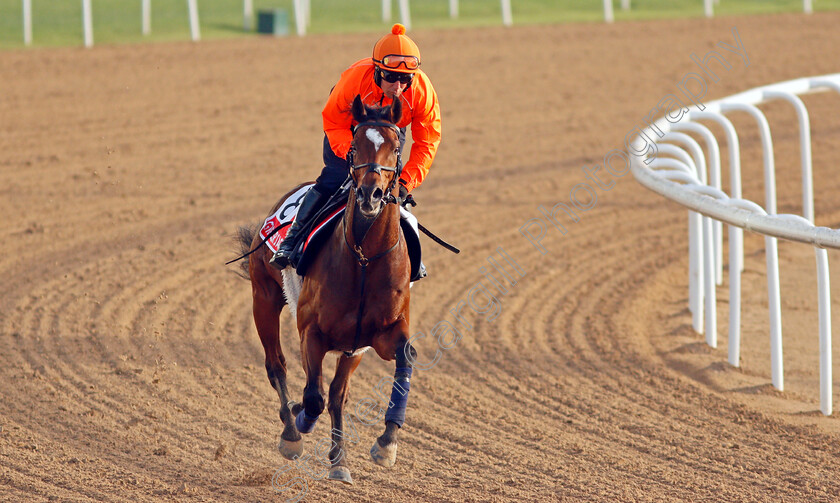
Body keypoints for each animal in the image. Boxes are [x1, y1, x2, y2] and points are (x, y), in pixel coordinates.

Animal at [238, 93, 416, 484]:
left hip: (352, 348)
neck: (364, 260)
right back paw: (292, 431)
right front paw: (298, 422)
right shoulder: (312, 332)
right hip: (264, 297)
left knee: (336, 393)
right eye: (354, 144)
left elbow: (402, 359)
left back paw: (338, 457)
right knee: (277, 366)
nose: (370, 193)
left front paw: (385, 444)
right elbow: (313, 397)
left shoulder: (375, 337)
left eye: (396, 146)